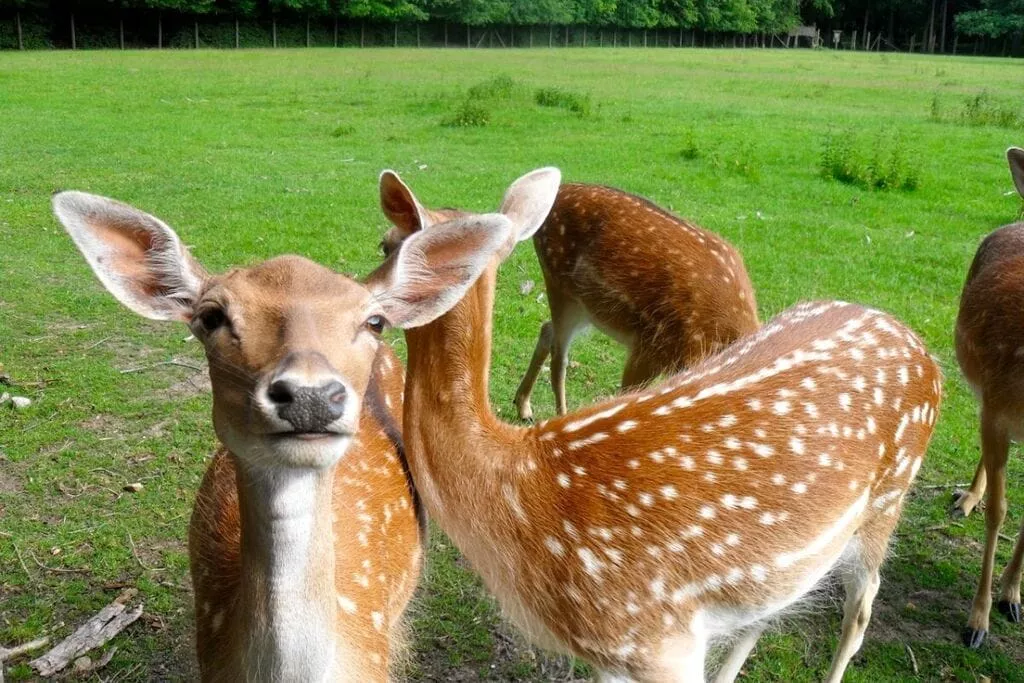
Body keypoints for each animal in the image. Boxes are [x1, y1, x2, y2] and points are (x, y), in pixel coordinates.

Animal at [507, 184, 757, 421]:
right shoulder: (649, 347)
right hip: (558, 284)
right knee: (558, 359)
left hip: (586, 308)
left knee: (546, 329)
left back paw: (524, 407)